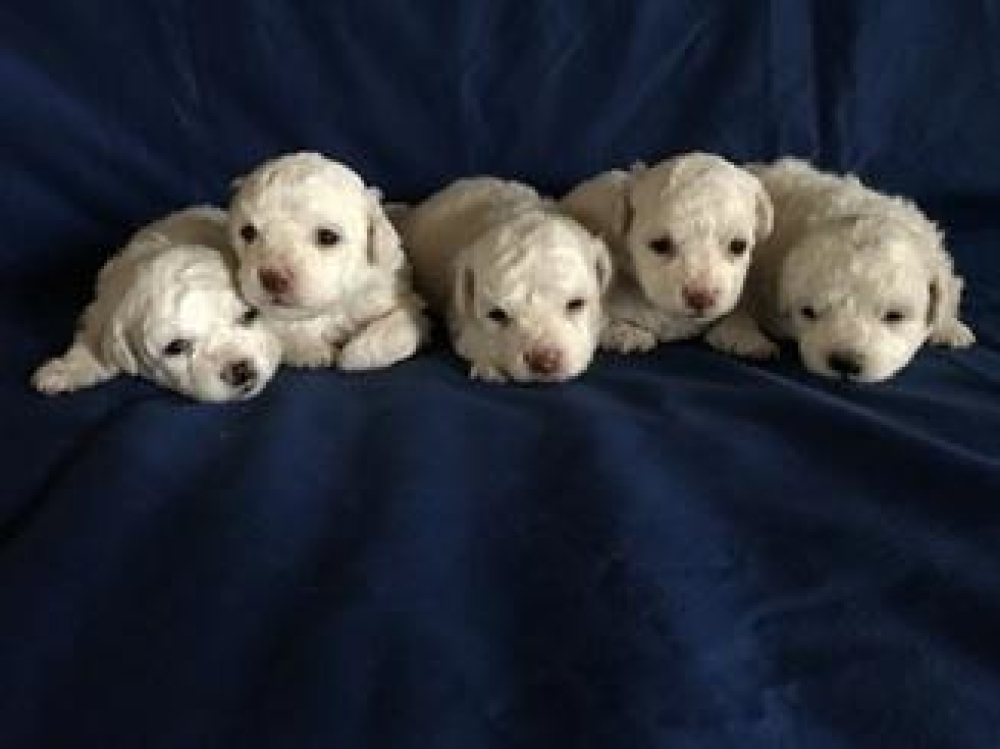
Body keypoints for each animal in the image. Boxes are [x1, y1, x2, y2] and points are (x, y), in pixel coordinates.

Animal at [33, 206, 282, 402]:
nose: (240, 370)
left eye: (249, 315)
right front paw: (65, 370)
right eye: (176, 347)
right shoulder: (104, 306)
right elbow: (93, 341)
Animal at [228, 152, 428, 371]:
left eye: (327, 237)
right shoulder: (270, 317)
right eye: (248, 232)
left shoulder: (405, 302)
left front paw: (353, 355)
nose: (272, 279)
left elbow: (397, 327)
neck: (335, 305)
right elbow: (284, 329)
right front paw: (314, 351)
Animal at [397, 177, 612, 383]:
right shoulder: (461, 319)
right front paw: (489, 366)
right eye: (497, 315)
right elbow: (473, 342)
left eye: (576, 304)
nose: (543, 361)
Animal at [561, 152, 773, 354]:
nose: (701, 297)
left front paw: (748, 337)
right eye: (660, 245)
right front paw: (626, 333)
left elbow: (738, 312)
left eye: (738, 246)